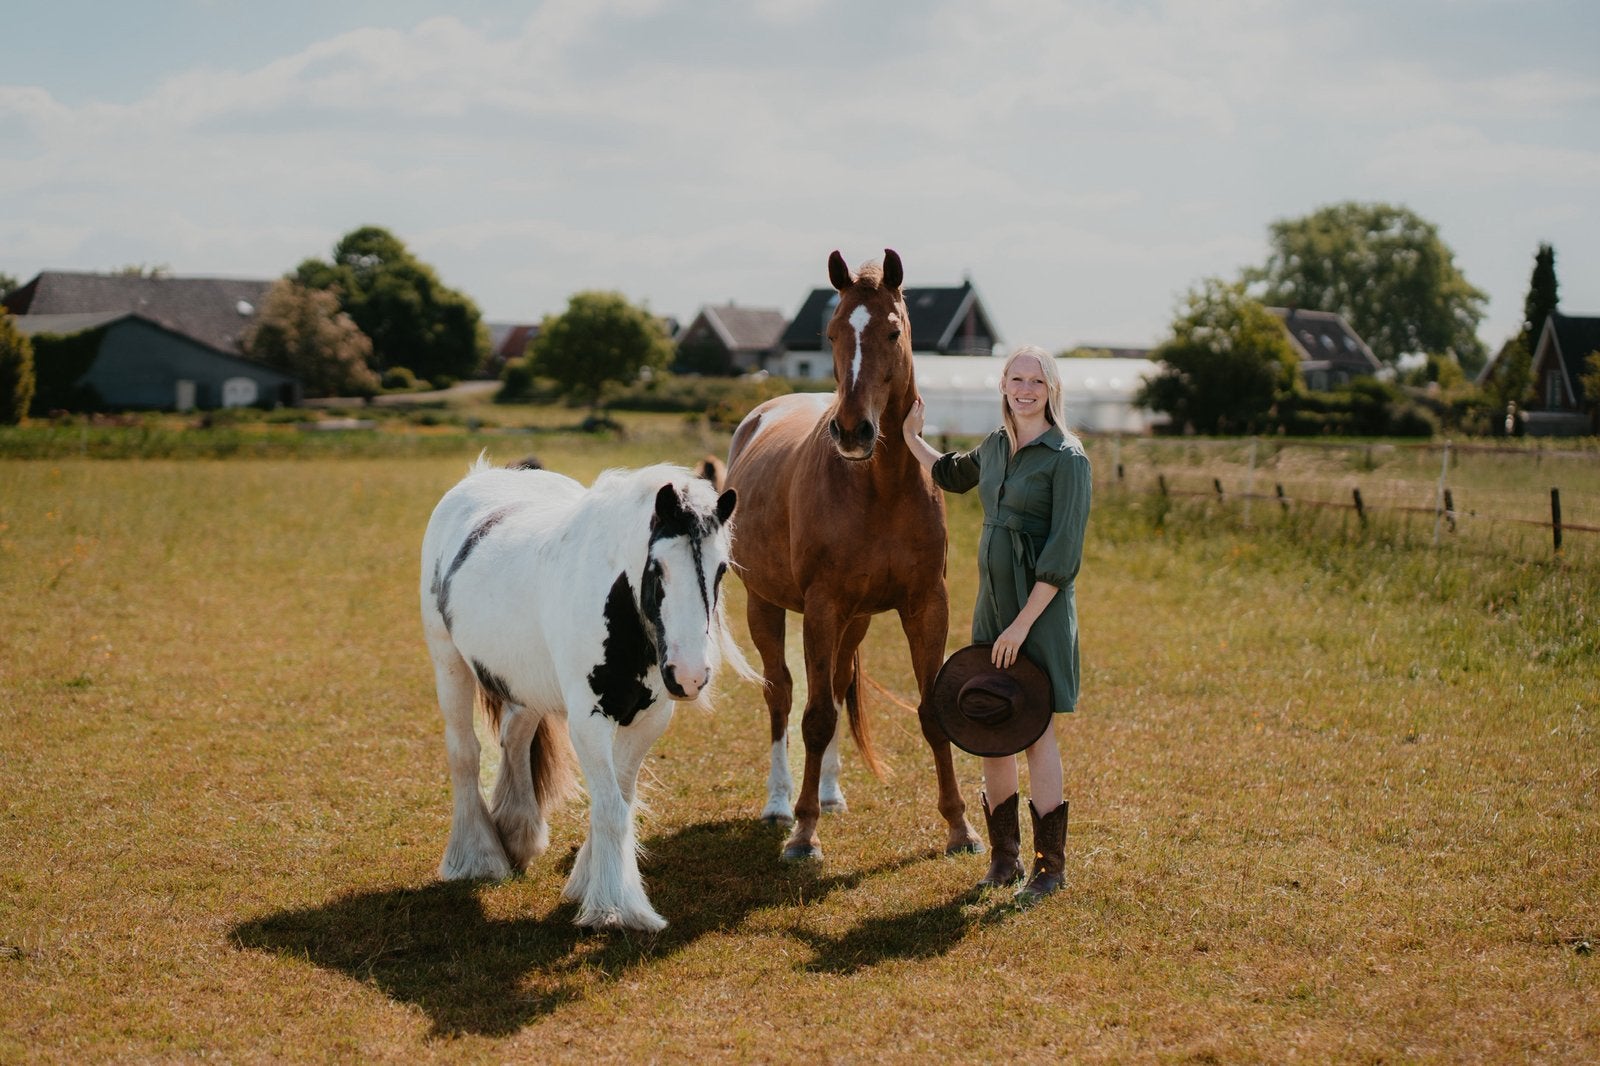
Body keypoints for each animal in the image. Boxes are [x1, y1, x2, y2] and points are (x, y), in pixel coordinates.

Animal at [419, 458, 746, 930]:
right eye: (658, 568)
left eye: (721, 569)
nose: (689, 676)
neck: (619, 607)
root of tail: (484, 475)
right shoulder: (589, 724)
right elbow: (611, 808)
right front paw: (616, 907)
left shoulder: (647, 722)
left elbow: (620, 800)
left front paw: (588, 884)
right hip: (449, 665)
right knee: (465, 753)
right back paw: (477, 857)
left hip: (526, 683)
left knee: (515, 739)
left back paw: (517, 834)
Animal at [725, 249, 981, 861]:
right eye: (833, 332)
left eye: (893, 331)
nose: (851, 431)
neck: (878, 486)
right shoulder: (821, 608)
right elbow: (814, 716)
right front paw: (803, 832)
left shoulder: (925, 605)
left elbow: (928, 709)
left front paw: (960, 828)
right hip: (764, 605)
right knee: (781, 694)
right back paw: (779, 803)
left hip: (855, 621)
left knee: (839, 686)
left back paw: (832, 793)